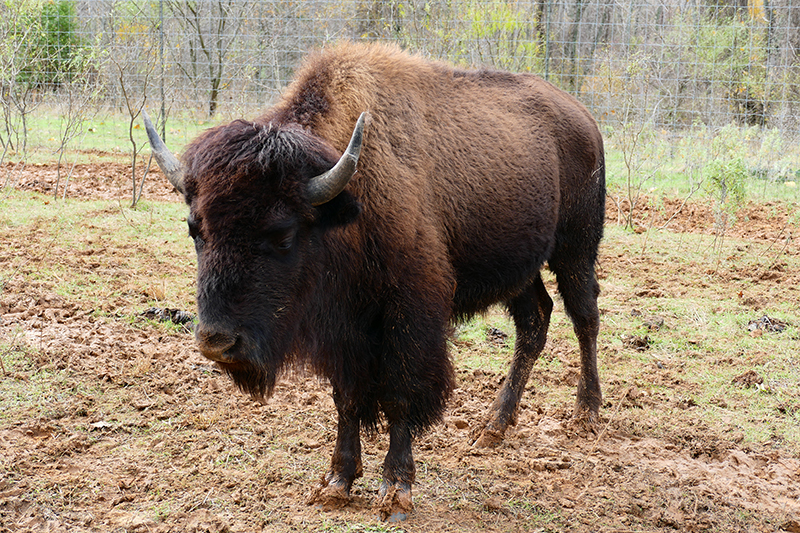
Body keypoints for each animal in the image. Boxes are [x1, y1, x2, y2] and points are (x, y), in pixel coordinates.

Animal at [145, 41, 608, 520]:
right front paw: (336, 483)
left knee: (584, 317)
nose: (217, 343)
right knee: (535, 321)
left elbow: (400, 396)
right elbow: (347, 400)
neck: (343, 206)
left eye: (283, 234)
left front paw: (396, 492)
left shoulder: (408, 318)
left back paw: (586, 414)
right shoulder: (344, 330)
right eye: (194, 228)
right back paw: (491, 429)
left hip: (576, 247)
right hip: (521, 268)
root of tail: (584, 117)